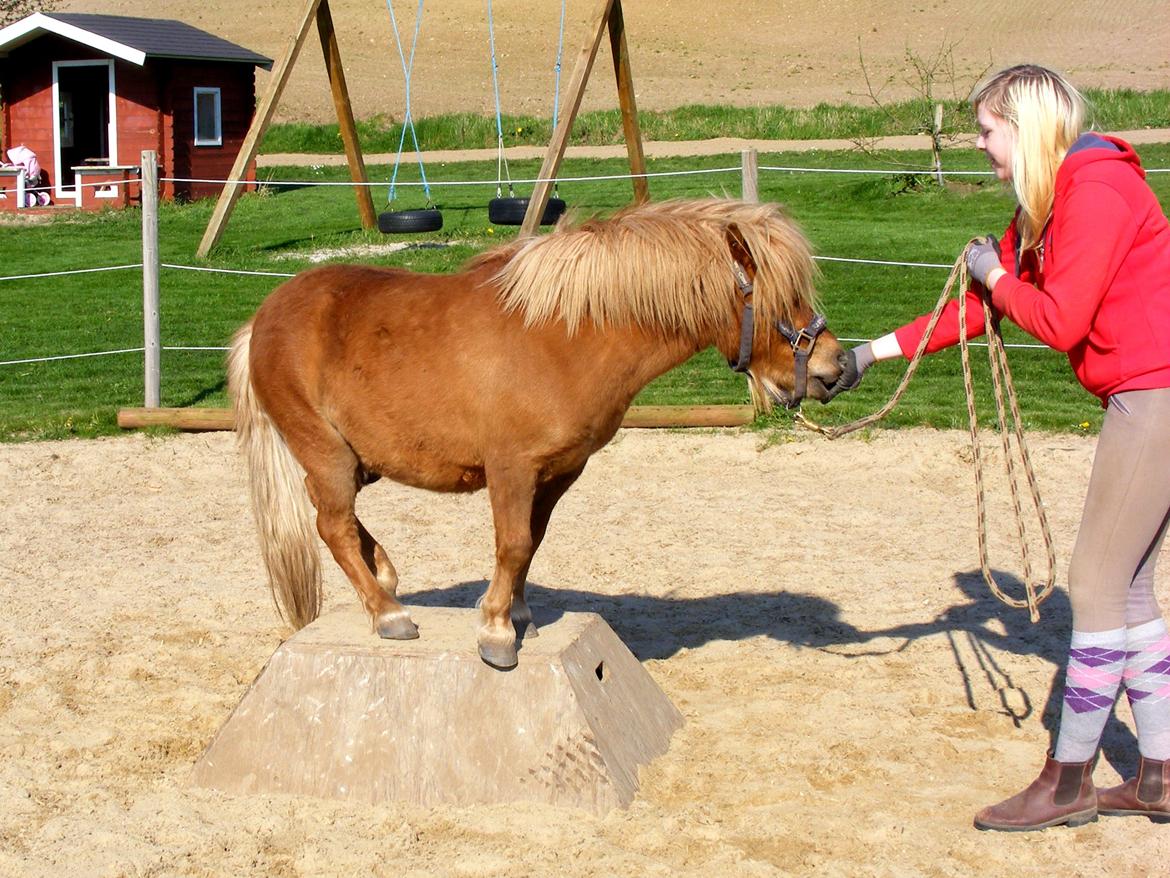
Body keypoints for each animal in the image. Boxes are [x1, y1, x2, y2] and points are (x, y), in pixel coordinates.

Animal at [228, 197, 847, 664]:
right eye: (783, 298)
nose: (836, 368)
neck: (565, 337)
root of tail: (262, 318)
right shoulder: (512, 467)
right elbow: (514, 542)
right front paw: (497, 631)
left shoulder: (561, 470)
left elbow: (534, 538)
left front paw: (517, 611)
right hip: (325, 450)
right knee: (330, 524)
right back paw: (388, 613)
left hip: (356, 461)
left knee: (331, 513)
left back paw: (384, 573)